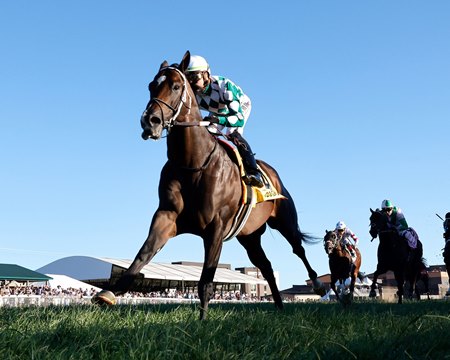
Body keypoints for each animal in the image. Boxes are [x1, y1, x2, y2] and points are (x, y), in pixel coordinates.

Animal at [92, 51, 324, 320]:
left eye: (176, 86)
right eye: (151, 85)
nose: (150, 121)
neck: (192, 164)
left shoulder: (215, 227)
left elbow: (206, 280)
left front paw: (202, 321)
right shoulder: (166, 217)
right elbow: (143, 254)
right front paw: (109, 293)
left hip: (284, 220)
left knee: (299, 249)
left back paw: (318, 285)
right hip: (249, 236)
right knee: (265, 266)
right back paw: (278, 306)